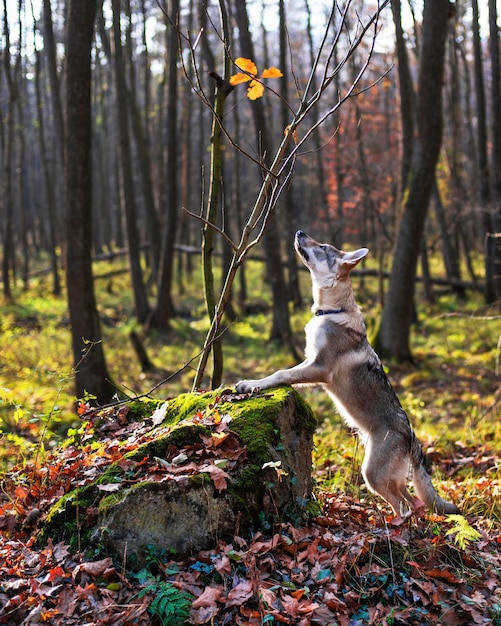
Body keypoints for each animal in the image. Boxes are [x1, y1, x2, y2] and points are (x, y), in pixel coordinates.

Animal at [236, 232, 458, 516]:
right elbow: (285, 372)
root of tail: (411, 435)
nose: (299, 232)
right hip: (387, 478)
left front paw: (250, 384)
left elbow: (279, 373)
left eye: (322, 247)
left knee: (404, 509)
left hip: (372, 475)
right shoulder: (309, 360)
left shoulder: (319, 367)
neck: (332, 311)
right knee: (413, 506)